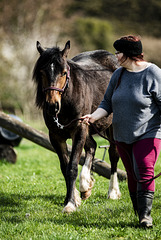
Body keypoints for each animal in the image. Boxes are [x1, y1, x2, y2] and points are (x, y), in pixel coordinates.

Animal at [33, 40, 121, 213]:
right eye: (42, 72)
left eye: (63, 73)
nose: (52, 106)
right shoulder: (56, 136)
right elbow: (64, 167)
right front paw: (73, 197)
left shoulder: (79, 129)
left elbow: (72, 167)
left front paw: (70, 204)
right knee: (92, 146)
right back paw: (85, 185)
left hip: (111, 126)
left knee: (114, 154)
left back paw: (113, 192)